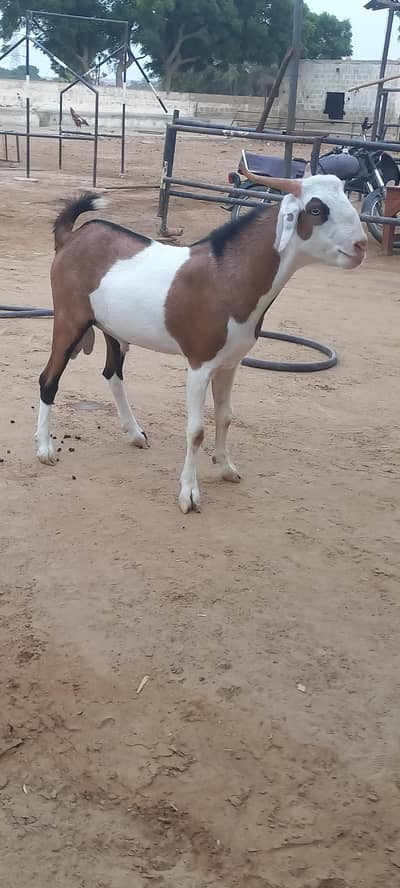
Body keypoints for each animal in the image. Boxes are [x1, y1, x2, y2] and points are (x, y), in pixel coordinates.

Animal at [36, 173, 367, 513]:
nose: (361, 246)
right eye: (316, 210)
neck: (226, 278)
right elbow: (196, 431)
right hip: (69, 320)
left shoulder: (230, 363)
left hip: (111, 327)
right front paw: (189, 493)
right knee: (49, 379)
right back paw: (46, 448)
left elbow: (225, 416)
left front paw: (225, 467)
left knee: (112, 374)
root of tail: (72, 237)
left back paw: (135, 433)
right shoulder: (199, 364)